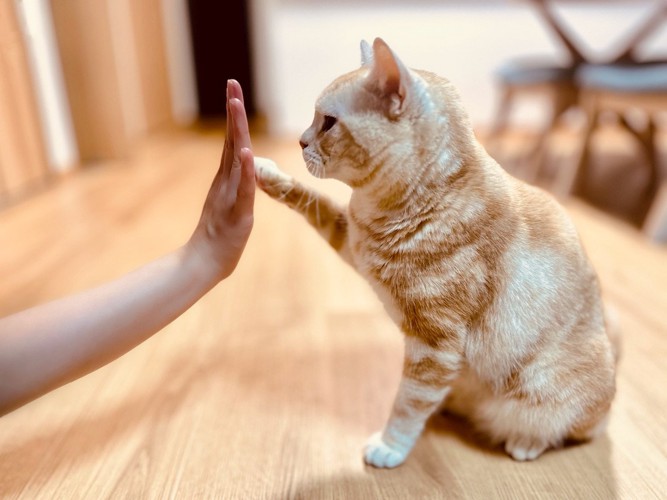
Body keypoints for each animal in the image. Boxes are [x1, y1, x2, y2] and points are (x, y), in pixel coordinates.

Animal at [253, 37, 620, 466]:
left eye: (327, 122)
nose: (299, 140)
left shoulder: (435, 346)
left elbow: (407, 404)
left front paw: (390, 447)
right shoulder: (352, 243)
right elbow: (313, 202)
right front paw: (265, 172)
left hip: (544, 396)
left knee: (577, 430)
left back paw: (525, 442)